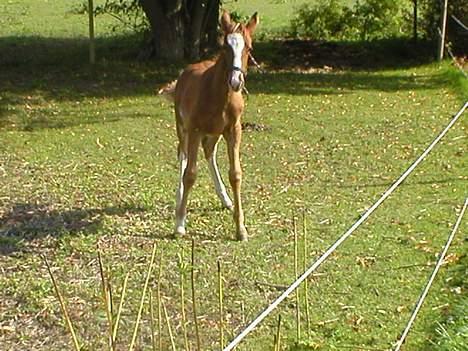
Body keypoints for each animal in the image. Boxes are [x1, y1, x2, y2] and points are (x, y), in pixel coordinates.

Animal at [159, 11, 258, 242]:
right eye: (225, 47)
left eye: (248, 48)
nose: (236, 81)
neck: (217, 94)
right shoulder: (195, 129)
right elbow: (190, 174)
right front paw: (180, 224)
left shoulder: (233, 130)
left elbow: (235, 174)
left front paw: (241, 229)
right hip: (183, 128)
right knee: (183, 155)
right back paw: (178, 200)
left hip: (214, 133)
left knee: (209, 152)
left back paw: (225, 199)